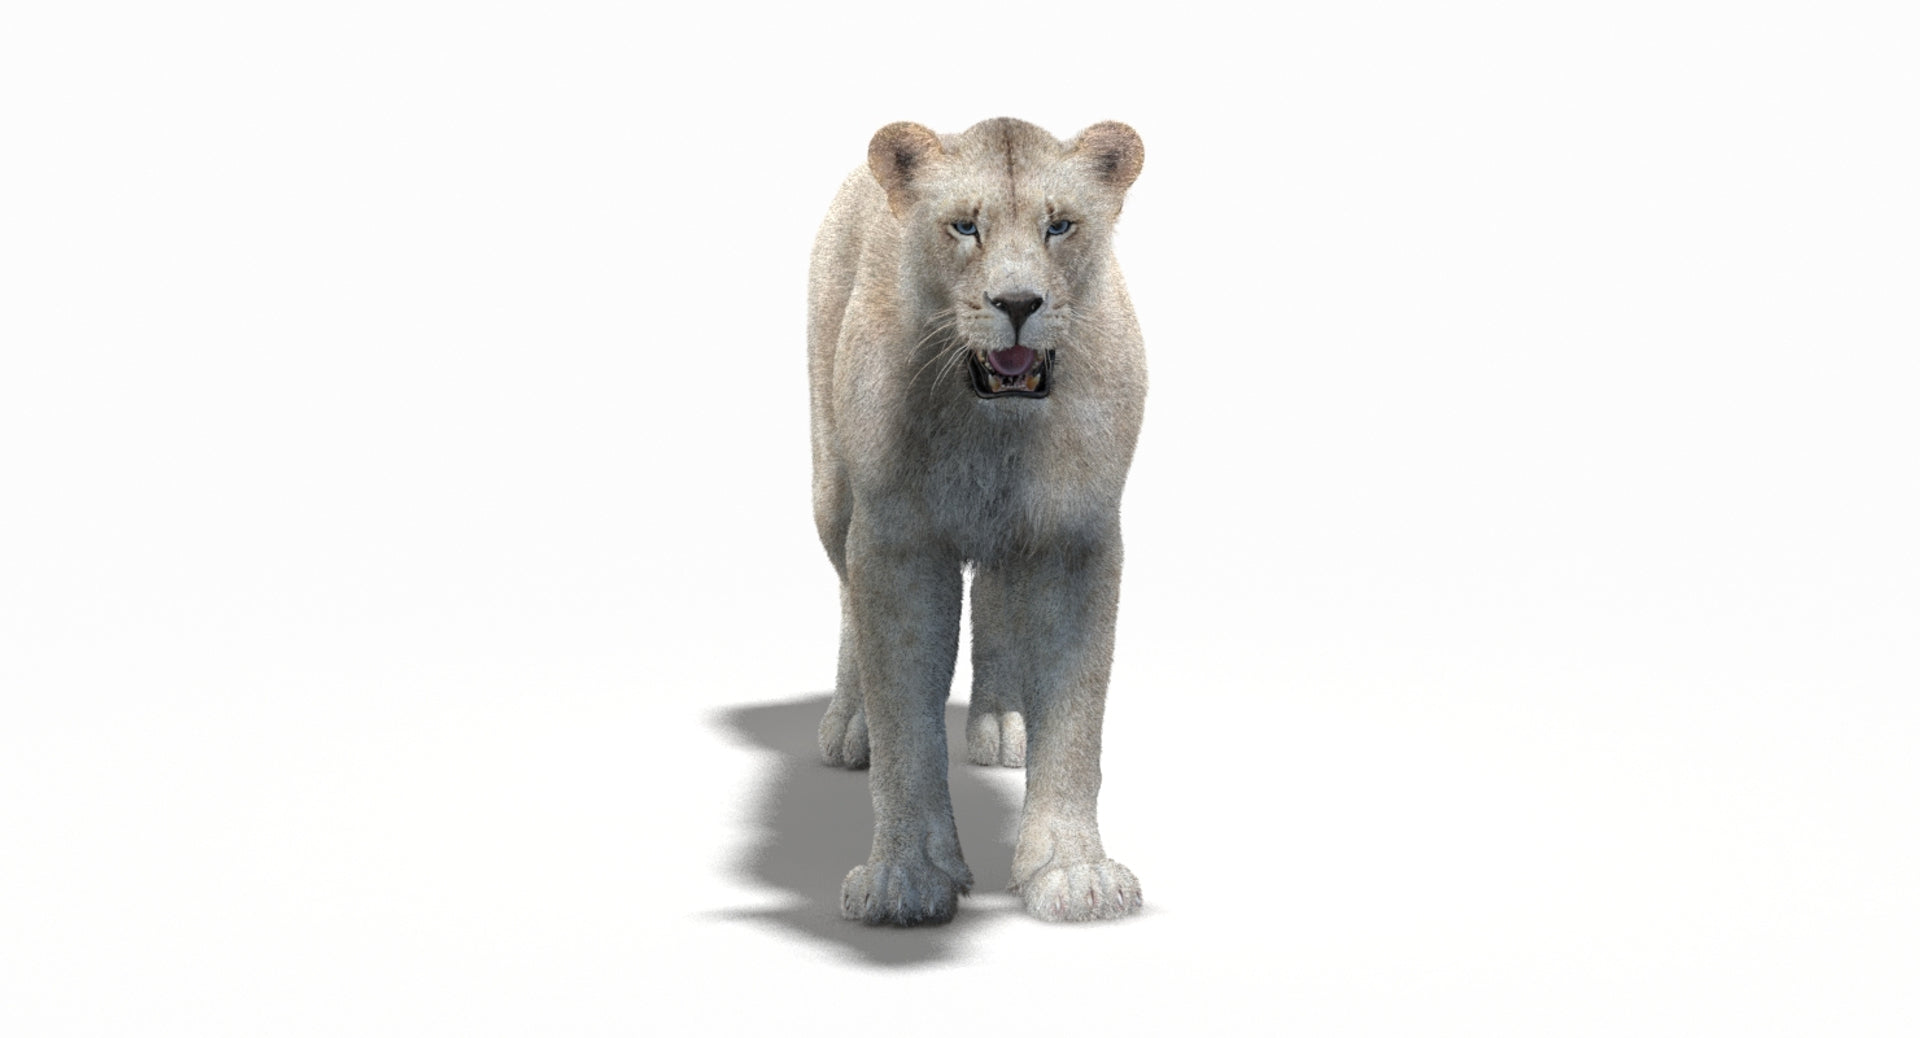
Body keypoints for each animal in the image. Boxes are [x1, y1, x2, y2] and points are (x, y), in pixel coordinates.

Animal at [808, 117, 1148, 925]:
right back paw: (850, 726)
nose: (1018, 302)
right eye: (965, 226)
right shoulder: (896, 542)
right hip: (832, 490)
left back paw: (1001, 725)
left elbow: (1077, 719)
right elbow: (905, 718)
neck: (994, 432)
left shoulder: (1077, 539)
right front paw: (904, 878)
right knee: (847, 597)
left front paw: (1073, 873)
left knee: (995, 596)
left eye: (1060, 225)